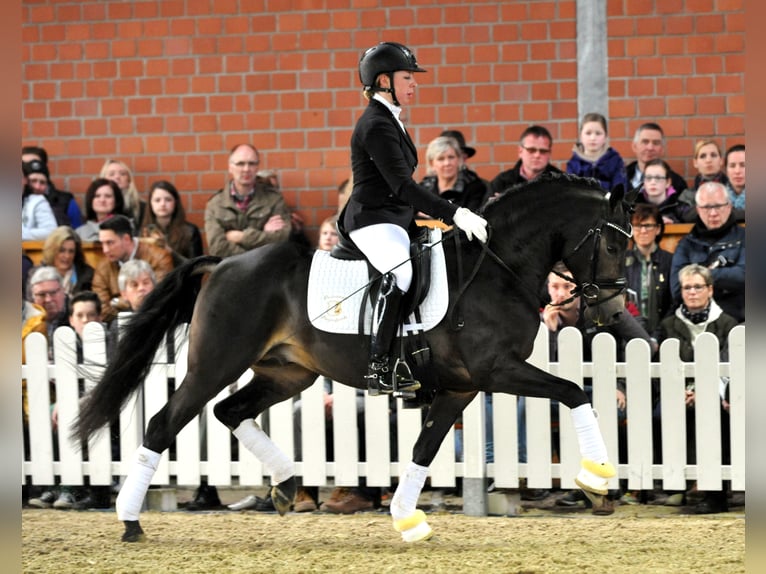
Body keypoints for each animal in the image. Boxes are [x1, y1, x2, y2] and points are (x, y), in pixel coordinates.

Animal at [74, 173, 634, 543]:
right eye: (610, 243)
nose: (611, 311)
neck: (496, 268)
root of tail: (222, 263)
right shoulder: (495, 371)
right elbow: (573, 391)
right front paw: (597, 478)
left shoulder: (461, 388)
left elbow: (424, 449)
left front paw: (407, 517)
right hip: (215, 366)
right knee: (164, 423)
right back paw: (130, 520)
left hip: (288, 374)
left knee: (230, 411)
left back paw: (286, 486)